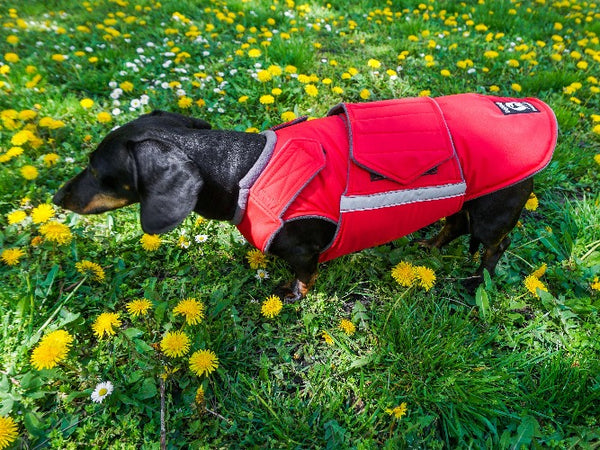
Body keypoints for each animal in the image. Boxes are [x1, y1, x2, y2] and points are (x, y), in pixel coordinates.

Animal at [52, 94, 556, 298]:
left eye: (97, 170)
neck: (242, 167)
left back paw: (477, 282)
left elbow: (303, 275)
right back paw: (428, 245)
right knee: (452, 222)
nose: (56, 199)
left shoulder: (302, 250)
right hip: (466, 199)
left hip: (494, 209)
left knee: (494, 245)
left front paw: (292, 295)